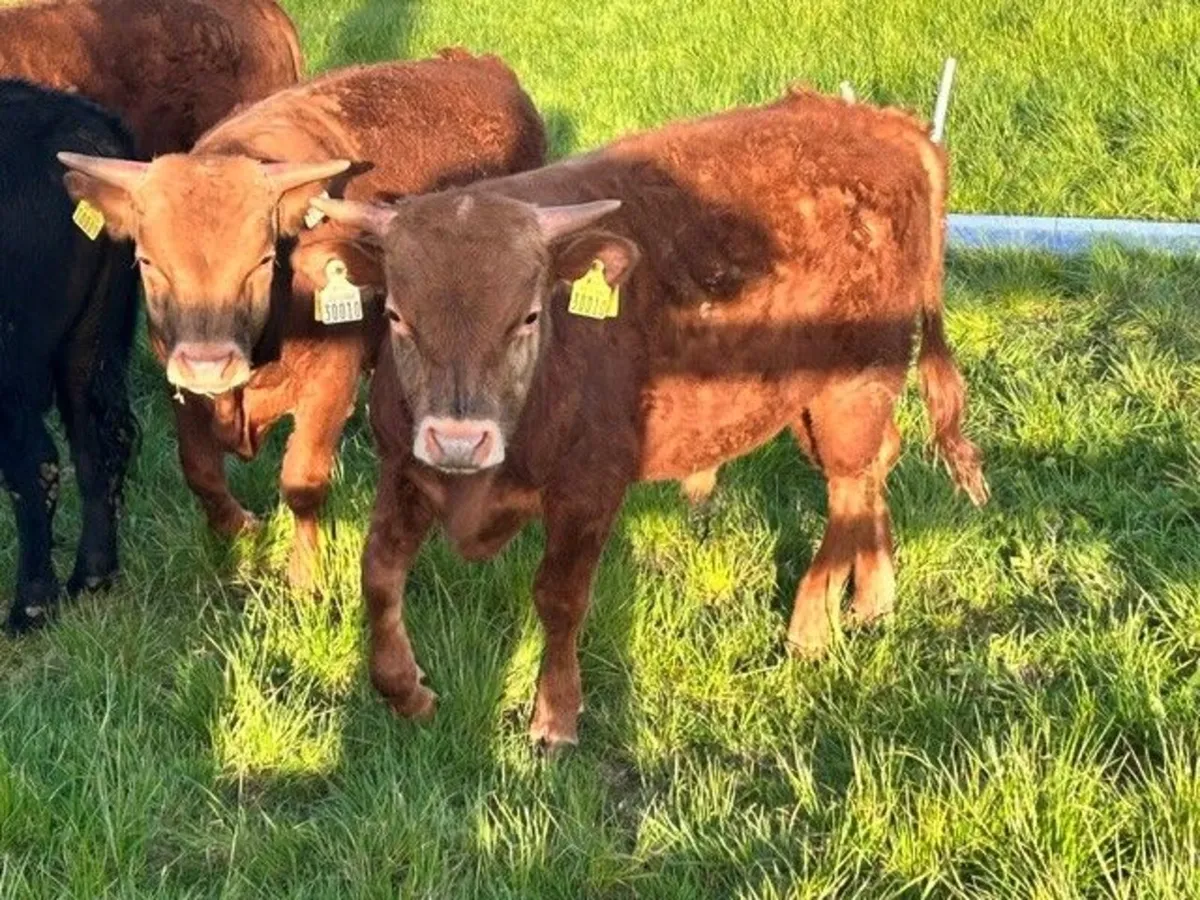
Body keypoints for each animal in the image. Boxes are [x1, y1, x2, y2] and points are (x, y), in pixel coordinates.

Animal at [57, 52, 547, 588]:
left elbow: (303, 483)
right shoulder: (178, 382)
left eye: (262, 260)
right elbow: (200, 471)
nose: (209, 365)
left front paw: (306, 576)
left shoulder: (329, 382)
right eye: (148, 262)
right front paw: (240, 529)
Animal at [312, 87, 991, 749]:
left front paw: (555, 716)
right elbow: (378, 575)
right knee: (876, 464)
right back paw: (874, 596)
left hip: (855, 385)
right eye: (397, 316)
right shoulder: (402, 469)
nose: (458, 441)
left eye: (527, 316)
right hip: (812, 403)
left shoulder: (590, 489)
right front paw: (407, 691)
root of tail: (883, 123)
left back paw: (811, 627)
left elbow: (559, 597)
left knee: (848, 490)